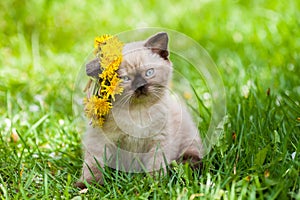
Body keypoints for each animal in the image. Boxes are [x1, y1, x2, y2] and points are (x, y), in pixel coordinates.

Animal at [76, 32, 204, 188]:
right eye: (125, 78)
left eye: (149, 73)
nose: (141, 86)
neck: (138, 112)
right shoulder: (100, 141)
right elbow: (93, 165)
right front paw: (87, 186)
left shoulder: (158, 142)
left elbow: (155, 165)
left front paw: (155, 185)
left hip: (188, 137)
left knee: (192, 155)